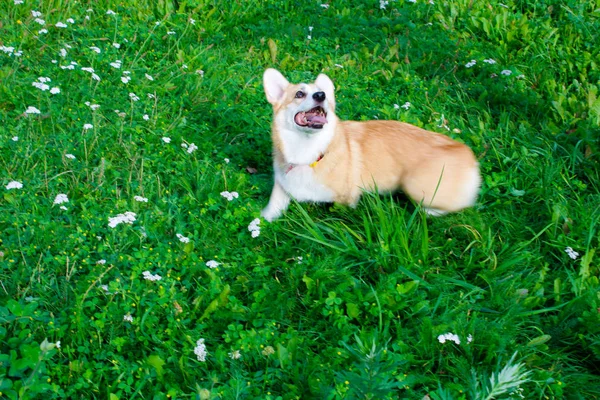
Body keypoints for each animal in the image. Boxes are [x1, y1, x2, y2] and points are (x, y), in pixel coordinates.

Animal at [260, 67, 480, 220]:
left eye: (323, 93)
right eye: (299, 94)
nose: (321, 95)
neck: (308, 153)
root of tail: (468, 154)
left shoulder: (346, 200)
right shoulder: (281, 186)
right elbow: (271, 209)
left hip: (415, 185)